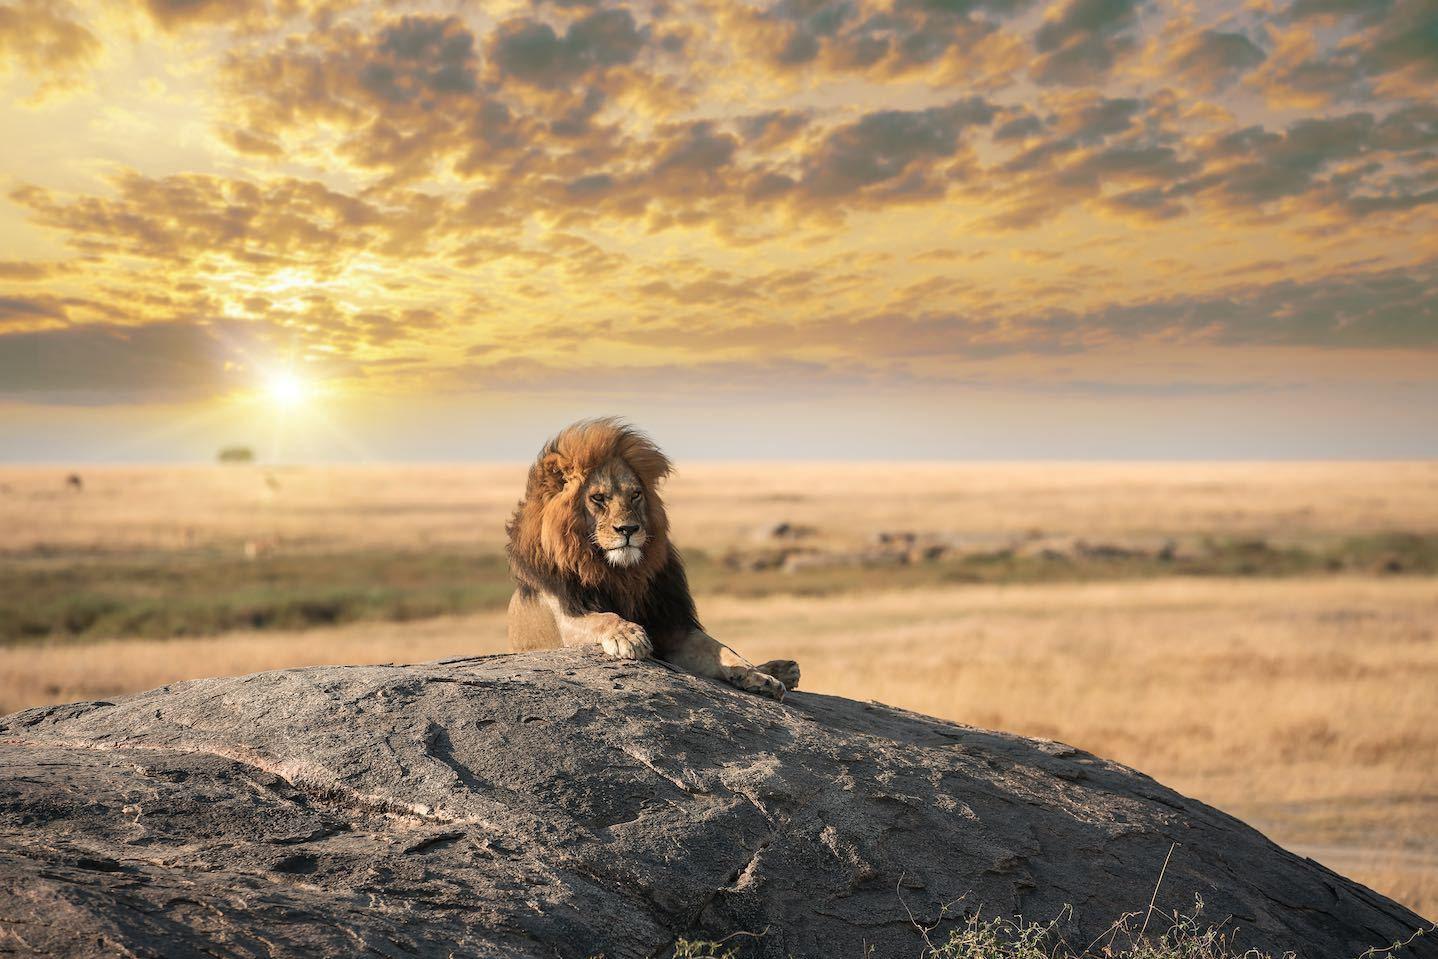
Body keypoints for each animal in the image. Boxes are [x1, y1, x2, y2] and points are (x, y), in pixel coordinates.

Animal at [505, 418, 800, 700]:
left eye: (635, 494)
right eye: (598, 498)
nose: (628, 529)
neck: (619, 573)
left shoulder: (672, 625)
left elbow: (723, 649)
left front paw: (758, 677)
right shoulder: (567, 618)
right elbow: (604, 617)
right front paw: (629, 635)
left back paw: (782, 670)